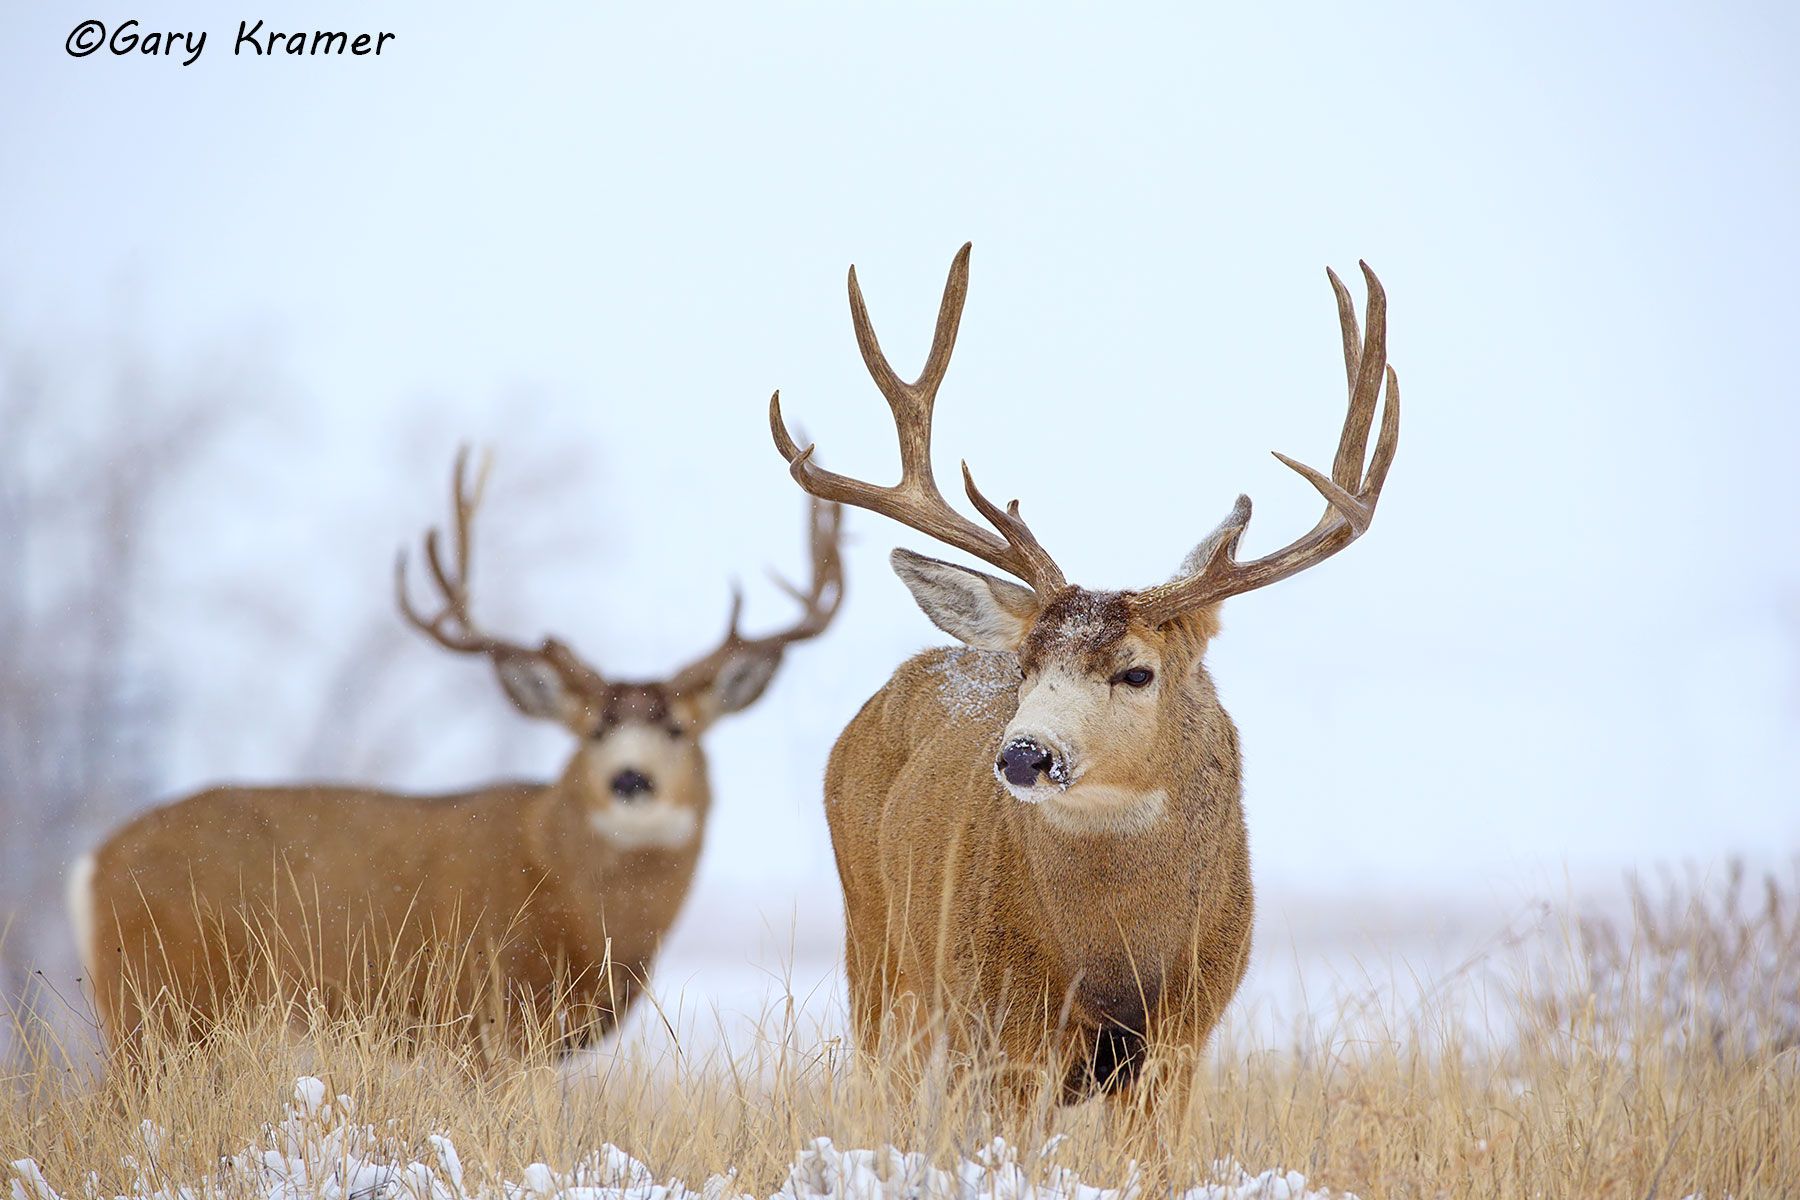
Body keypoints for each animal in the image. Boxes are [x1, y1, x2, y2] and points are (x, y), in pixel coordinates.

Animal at [69, 449, 843, 1058]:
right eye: (592, 730)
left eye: (680, 728)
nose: (631, 779)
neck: (567, 892)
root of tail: (92, 864)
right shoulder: (481, 1013)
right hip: (159, 1003)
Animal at [768, 244, 1398, 1105]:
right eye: (1026, 664)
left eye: (1136, 673)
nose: (1024, 754)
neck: (1112, 956)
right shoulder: (1004, 1025)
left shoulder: (1183, 1033)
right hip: (877, 951)